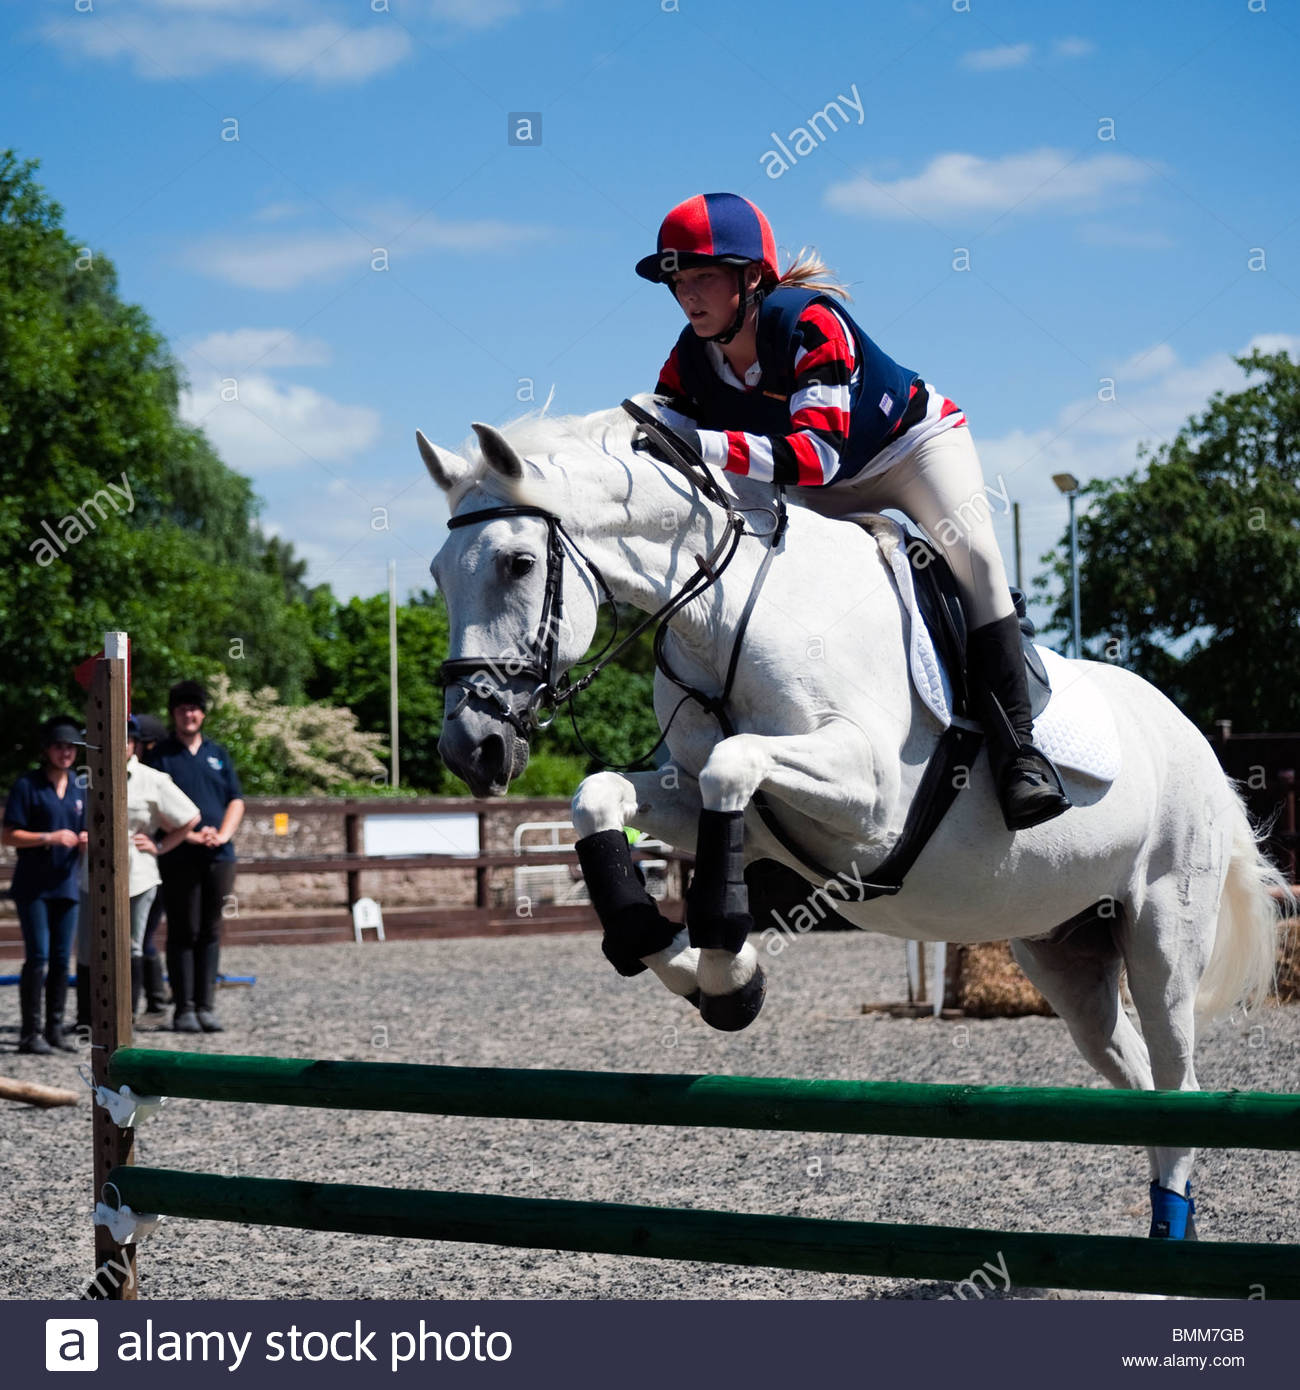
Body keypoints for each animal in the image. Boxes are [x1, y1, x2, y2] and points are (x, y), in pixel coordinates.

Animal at [417, 396, 1285, 1240]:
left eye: (518, 562)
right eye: (436, 572)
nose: (471, 746)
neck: (728, 614)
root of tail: (1198, 743)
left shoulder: (869, 796)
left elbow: (736, 765)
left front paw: (727, 972)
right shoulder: (701, 796)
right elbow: (603, 795)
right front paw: (687, 961)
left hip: (1163, 930)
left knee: (1179, 1081)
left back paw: (1171, 1236)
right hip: (1064, 952)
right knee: (1138, 1080)